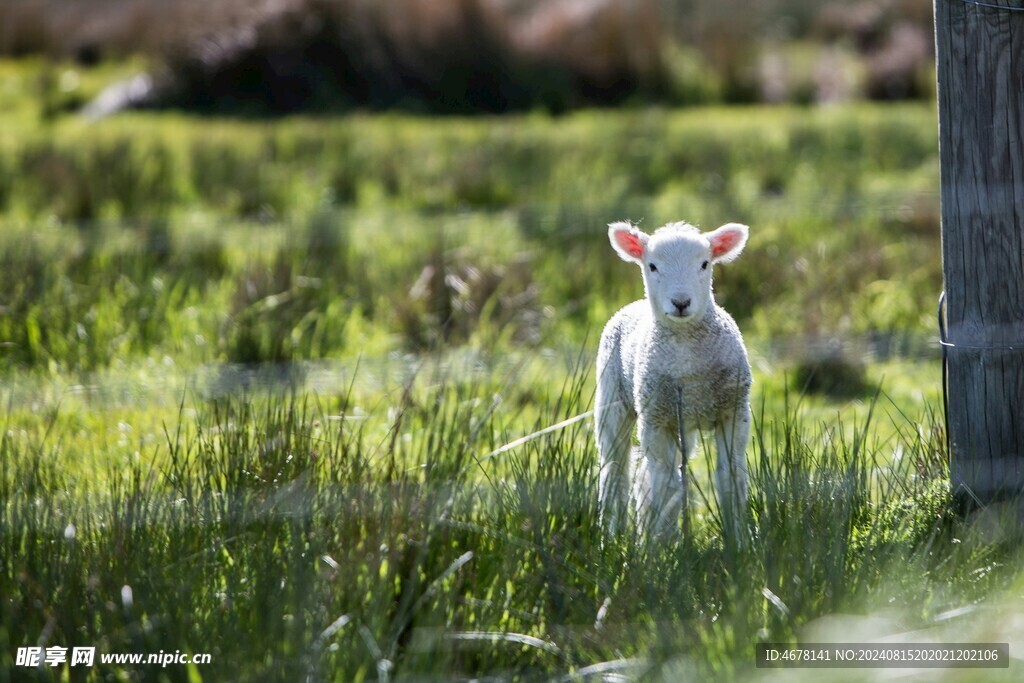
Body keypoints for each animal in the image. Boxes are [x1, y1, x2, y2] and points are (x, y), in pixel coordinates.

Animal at [593, 222, 753, 536]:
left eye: (704, 264)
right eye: (652, 266)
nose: (681, 302)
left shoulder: (733, 411)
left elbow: (731, 478)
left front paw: (738, 539)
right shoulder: (656, 419)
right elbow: (666, 488)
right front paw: (662, 544)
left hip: (682, 423)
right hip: (612, 399)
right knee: (615, 471)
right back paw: (613, 535)